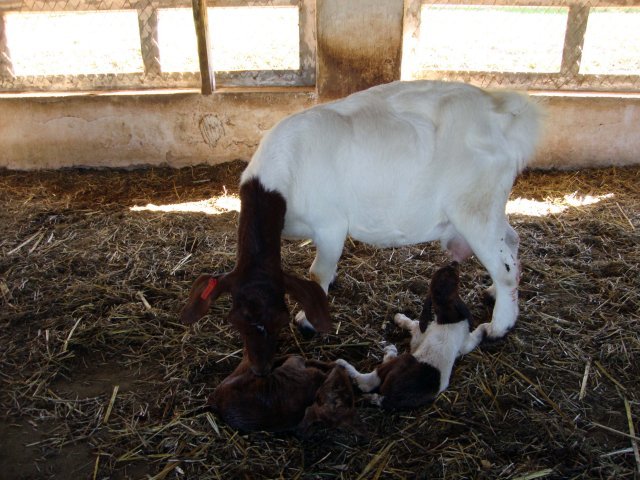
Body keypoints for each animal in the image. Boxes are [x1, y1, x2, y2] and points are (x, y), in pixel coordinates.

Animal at [242, 79, 544, 342]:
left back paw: (498, 326)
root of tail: (498, 111)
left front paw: (307, 321)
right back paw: (493, 293)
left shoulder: (330, 225)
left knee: (504, 268)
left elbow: (318, 273)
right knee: (512, 241)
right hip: (489, 209)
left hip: (474, 210)